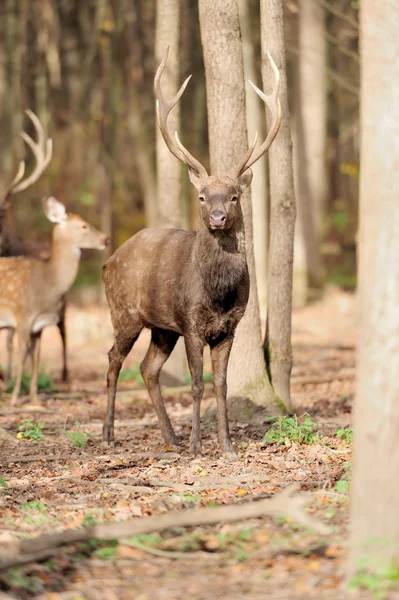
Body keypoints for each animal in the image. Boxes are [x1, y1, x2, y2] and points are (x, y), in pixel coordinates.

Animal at [0, 197, 109, 404]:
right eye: (83, 225)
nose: (106, 239)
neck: (48, 284)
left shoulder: (39, 325)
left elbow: (36, 357)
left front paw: (35, 398)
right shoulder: (23, 315)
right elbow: (22, 355)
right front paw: (15, 398)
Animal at [103, 50, 282, 454]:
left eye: (234, 196)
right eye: (202, 196)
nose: (217, 217)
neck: (217, 292)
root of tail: (108, 260)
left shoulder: (228, 327)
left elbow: (222, 384)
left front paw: (227, 445)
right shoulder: (190, 323)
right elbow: (197, 384)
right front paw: (200, 446)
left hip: (160, 328)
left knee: (148, 369)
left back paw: (170, 437)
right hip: (125, 313)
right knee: (113, 359)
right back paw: (108, 434)